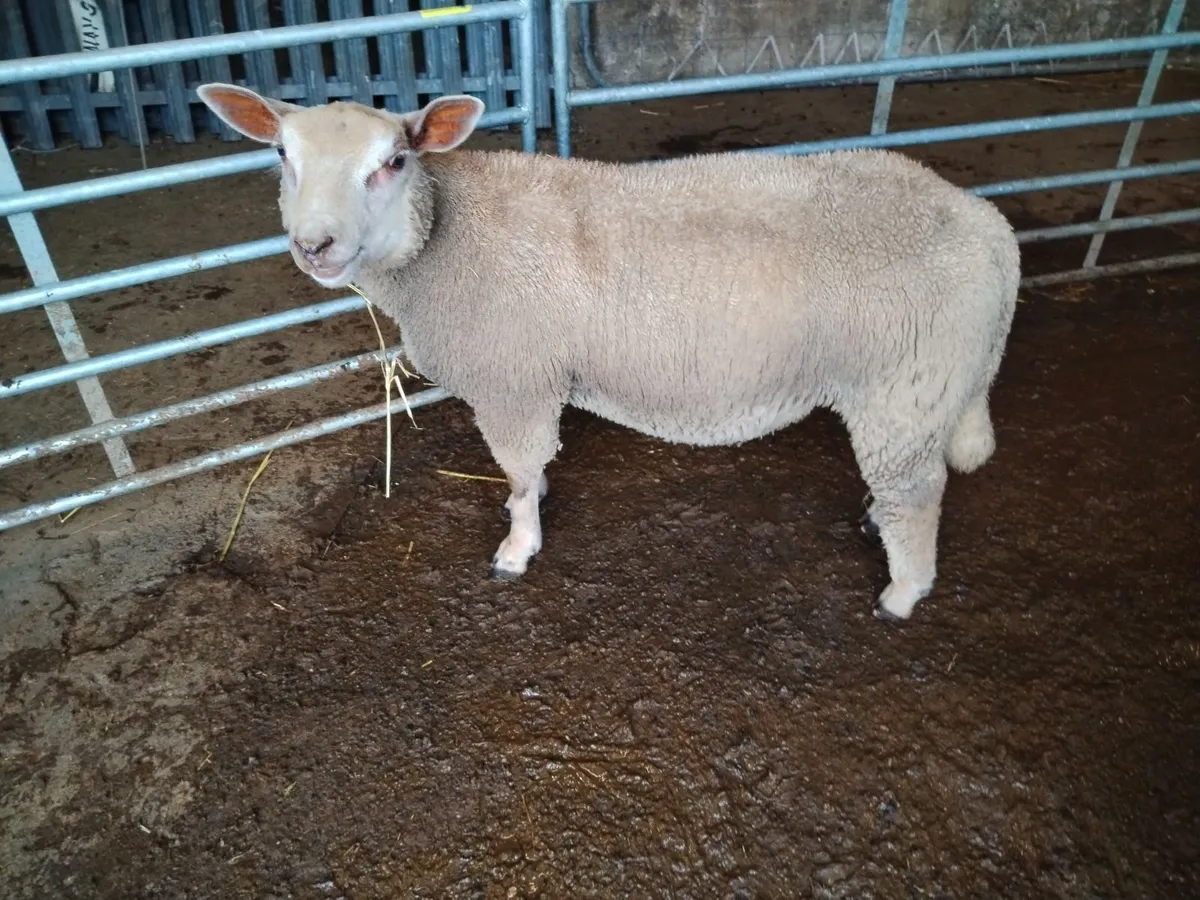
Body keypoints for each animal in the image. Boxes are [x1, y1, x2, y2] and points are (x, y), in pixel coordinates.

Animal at [196, 83, 1020, 622]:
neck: (445, 236)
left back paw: (901, 594)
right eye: (281, 154)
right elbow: (531, 468)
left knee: (918, 493)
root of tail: (989, 227)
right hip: (925, 390)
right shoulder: (528, 379)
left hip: (903, 383)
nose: (314, 246)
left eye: (395, 161)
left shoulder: (512, 378)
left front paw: (517, 547)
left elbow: (519, 470)